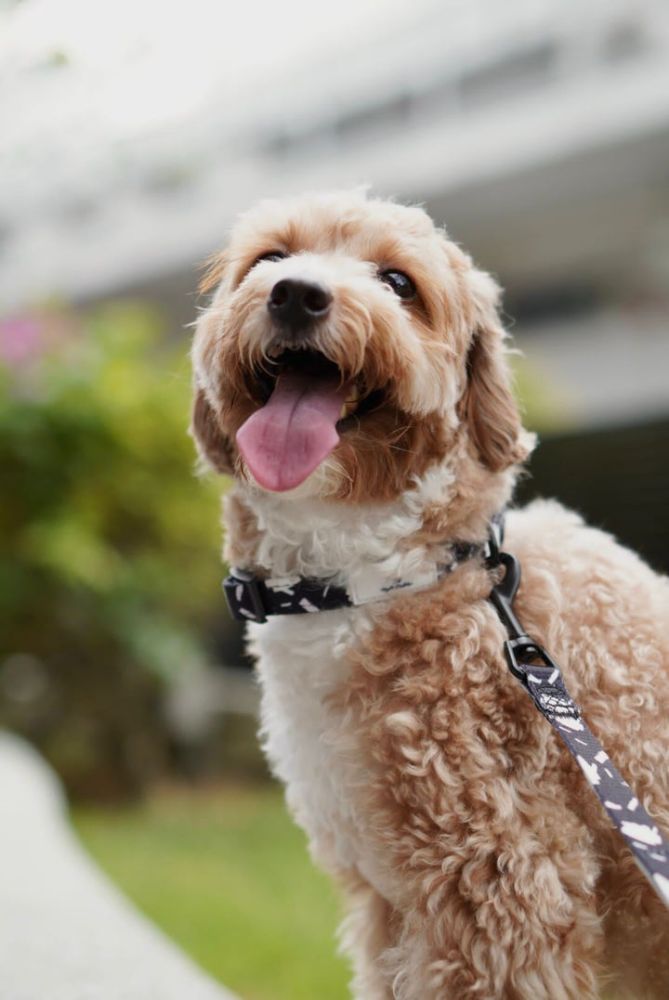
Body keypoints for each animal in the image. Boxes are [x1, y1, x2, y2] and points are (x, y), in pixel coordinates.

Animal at [190, 190, 669, 999]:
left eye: (398, 283)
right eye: (271, 259)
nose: (296, 294)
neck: (382, 577)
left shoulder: (501, 888)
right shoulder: (386, 903)